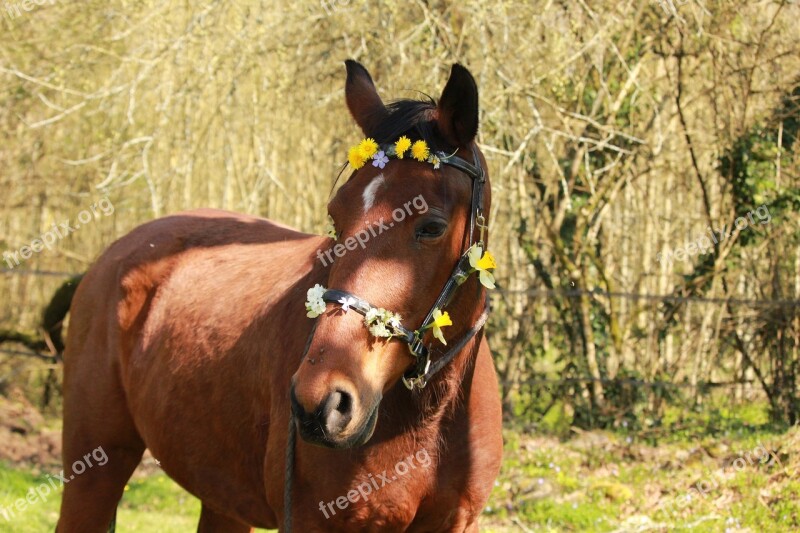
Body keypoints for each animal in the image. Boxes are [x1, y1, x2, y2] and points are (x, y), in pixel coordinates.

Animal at [57, 60, 500, 528]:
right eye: (336, 218)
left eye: (431, 226)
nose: (319, 403)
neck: (425, 419)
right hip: (94, 474)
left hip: (221, 501)